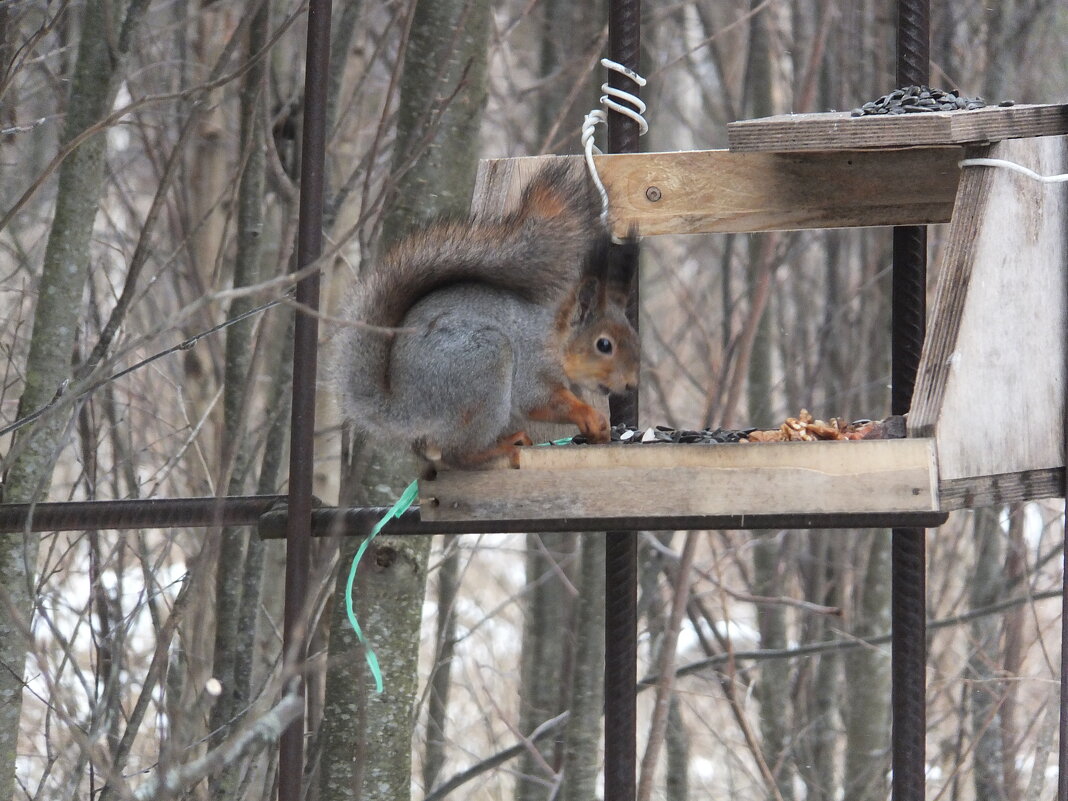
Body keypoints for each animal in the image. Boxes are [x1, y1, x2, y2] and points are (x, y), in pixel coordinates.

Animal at [328, 159, 636, 467]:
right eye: (604, 345)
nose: (632, 385)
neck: (556, 338)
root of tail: (407, 409)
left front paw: (600, 429)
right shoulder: (532, 365)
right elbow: (539, 400)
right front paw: (590, 415)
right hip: (484, 367)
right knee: (458, 454)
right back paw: (502, 447)